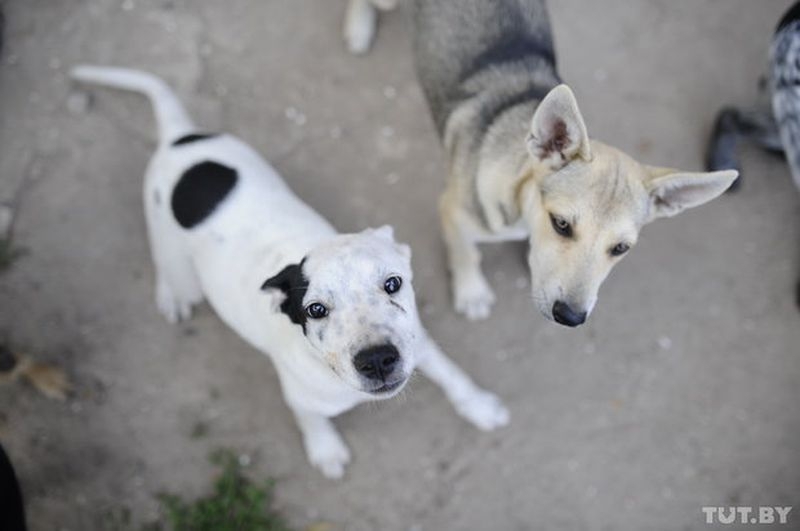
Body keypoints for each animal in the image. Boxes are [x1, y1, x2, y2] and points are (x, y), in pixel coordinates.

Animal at [70, 65, 506, 478]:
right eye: (315, 310)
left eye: (393, 284)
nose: (378, 360)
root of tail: (179, 139)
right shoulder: (300, 395)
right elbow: (309, 419)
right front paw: (325, 449)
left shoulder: (420, 342)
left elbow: (452, 375)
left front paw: (480, 406)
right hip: (160, 223)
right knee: (166, 260)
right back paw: (172, 294)